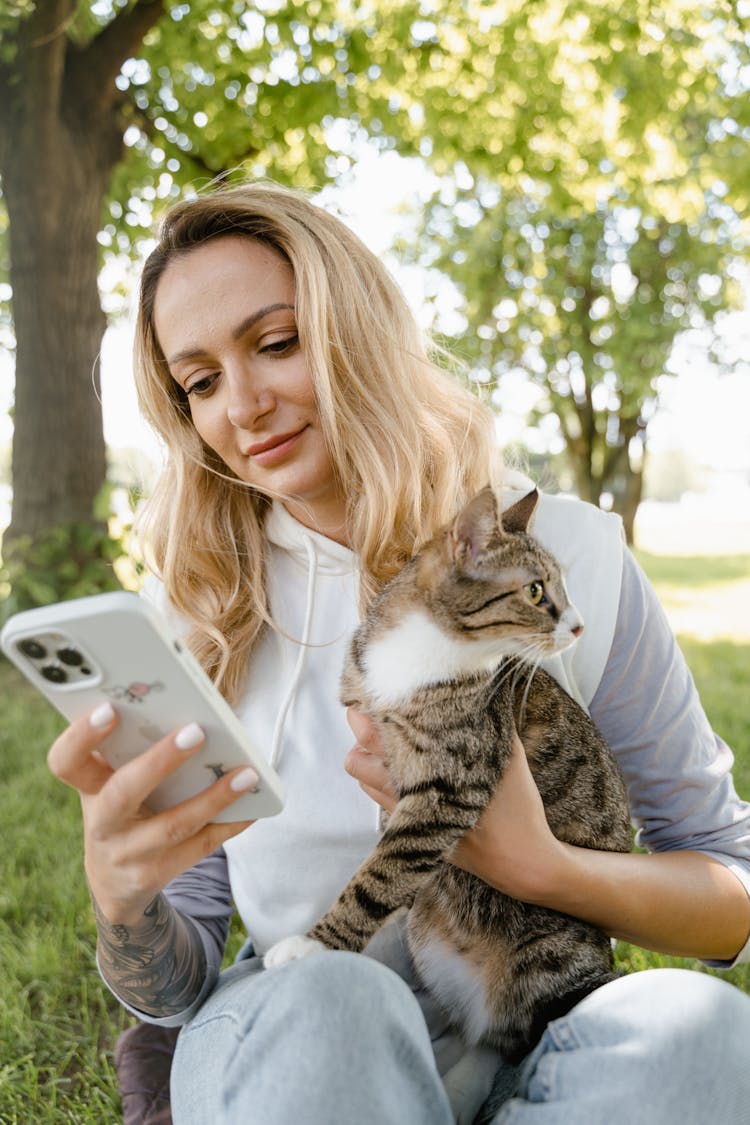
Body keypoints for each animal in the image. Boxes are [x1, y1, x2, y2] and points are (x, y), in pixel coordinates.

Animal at [265, 486, 634, 1062]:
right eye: (535, 591)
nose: (578, 626)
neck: (423, 652)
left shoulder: (450, 789)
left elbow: (383, 872)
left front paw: (315, 944)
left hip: (554, 963)